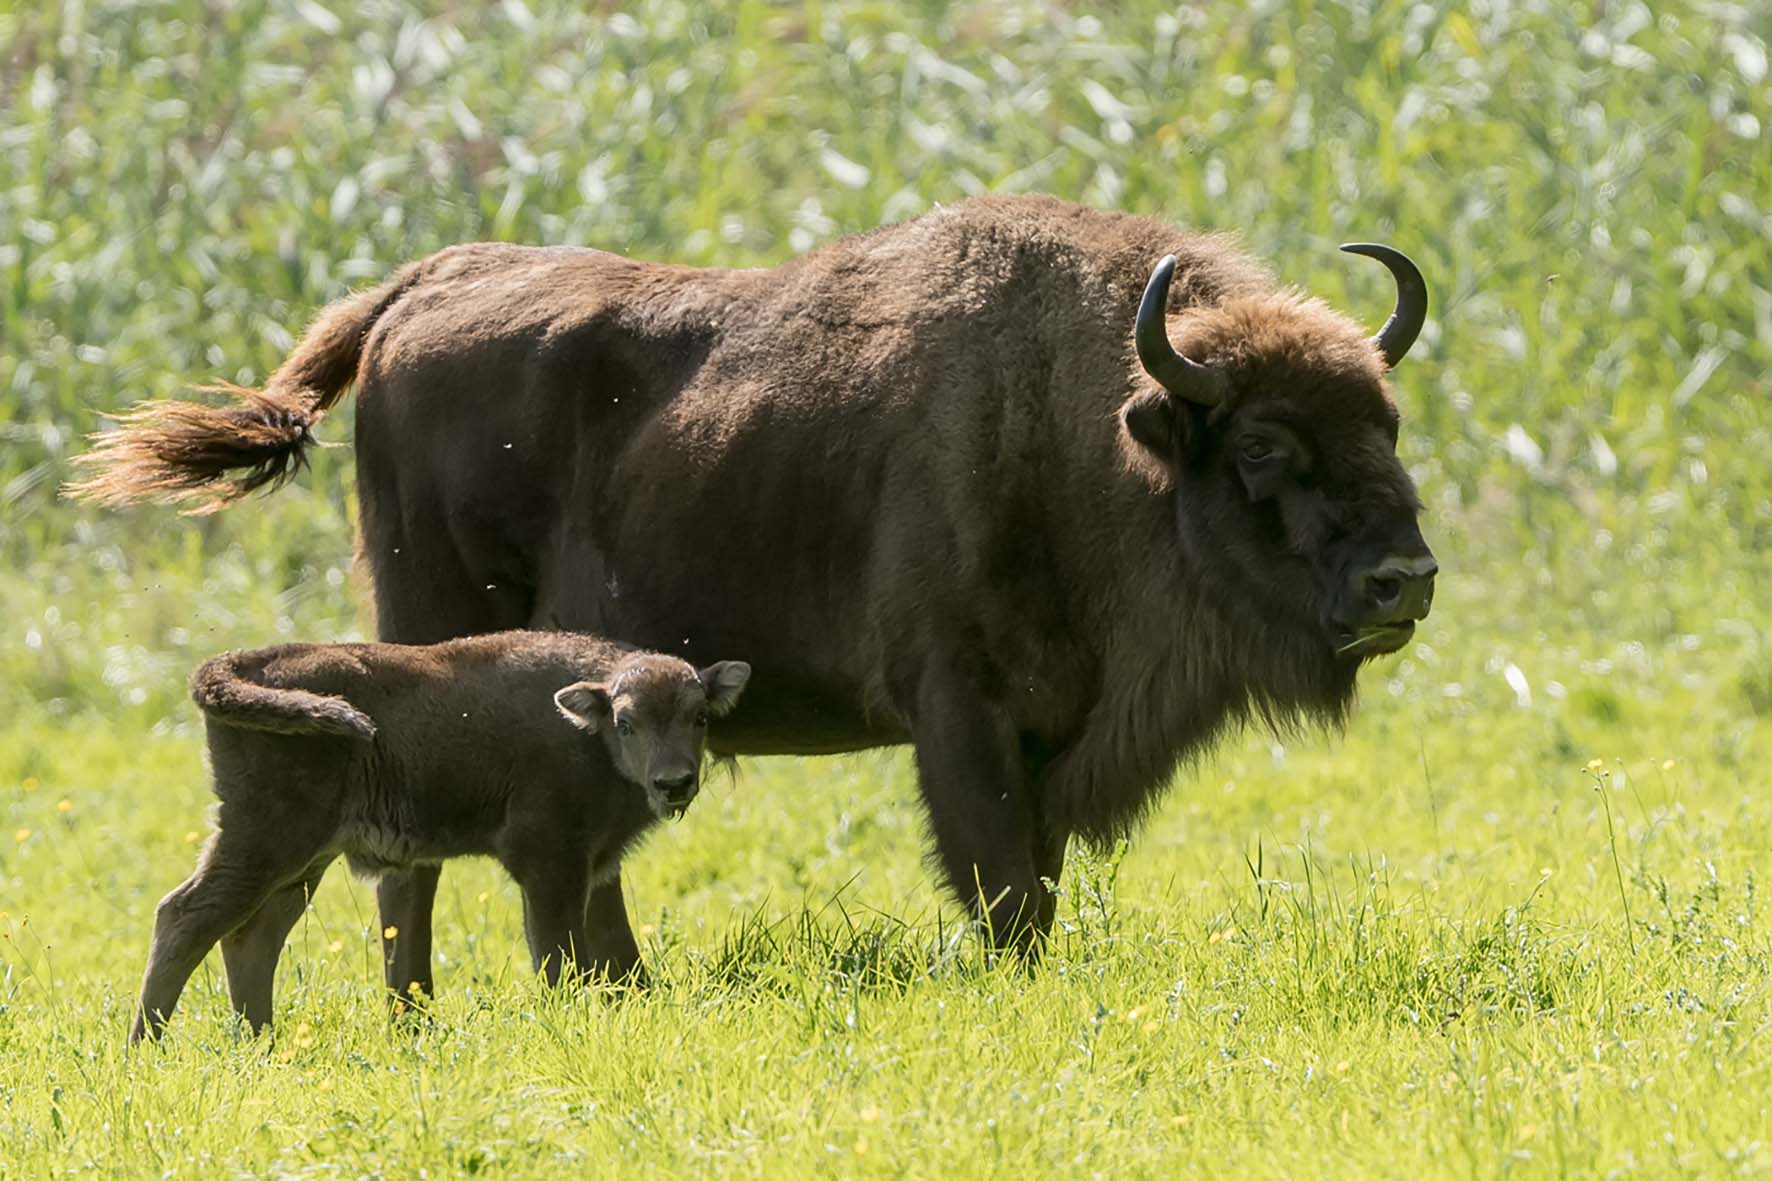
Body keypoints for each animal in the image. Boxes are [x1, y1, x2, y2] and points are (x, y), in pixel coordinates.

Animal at [79, 195, 1438, 985]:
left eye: (1384, 420)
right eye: (1260, 443)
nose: (1403, 578)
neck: (1097, 424)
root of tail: (419, 288)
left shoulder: (1049, 735)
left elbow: (1036, 881)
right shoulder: (959, 716)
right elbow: (1000, 886)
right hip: (426, 625)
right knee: (404, 854)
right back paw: (420, 1009)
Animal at [129, 631, 747, 1035]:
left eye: (700, 717)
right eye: (626, 722)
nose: (674, 783)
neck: (585, 730)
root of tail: (245, 663)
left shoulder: (595, 866)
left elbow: (611, 952)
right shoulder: (547, 864)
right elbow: (559, 957)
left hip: (301, 862)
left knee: (250, 937)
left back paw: (261, 1044)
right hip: (266, 839)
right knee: (184, 917)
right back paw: (147, 1050)